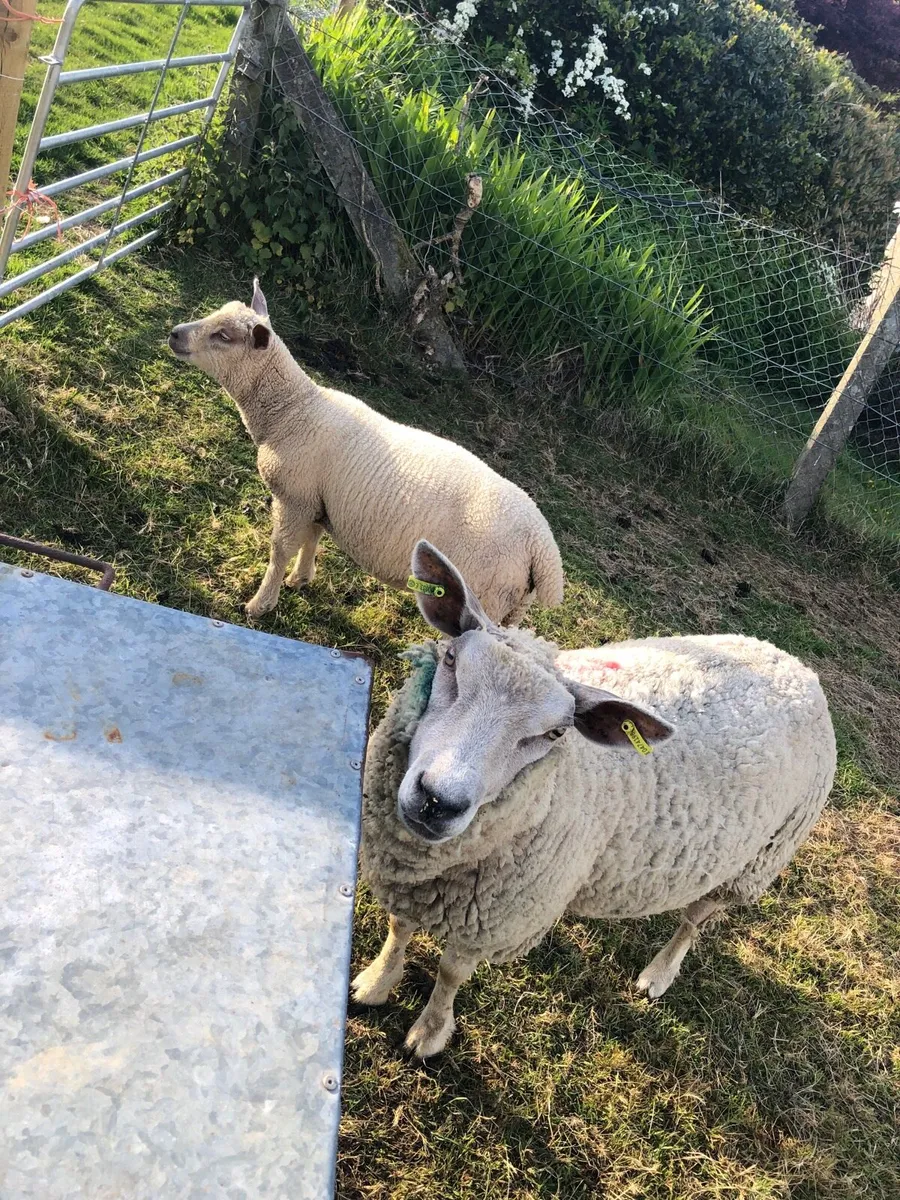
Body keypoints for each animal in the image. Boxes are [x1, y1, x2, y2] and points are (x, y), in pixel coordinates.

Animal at [168, 280, 564, 623]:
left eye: (224, 336)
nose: (174, 334)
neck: (292, 410)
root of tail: (543, 549)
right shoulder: (317, 499)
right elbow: (312, 538)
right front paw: (301, 578)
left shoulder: (294, 496)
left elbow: (279, 550)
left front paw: (260, 604)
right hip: (511, 605)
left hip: (485, 592)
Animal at [354, 540, 836, 1058]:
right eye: (450, 662)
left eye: (554, 733)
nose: (437, 801)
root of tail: (797, 666)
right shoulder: (410, 880)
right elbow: (398, 929)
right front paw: (376, 983)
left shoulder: (496, 920)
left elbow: (450, 973)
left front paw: (429, 1032)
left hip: (753, 862)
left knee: (694, 921)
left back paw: (658, 974)